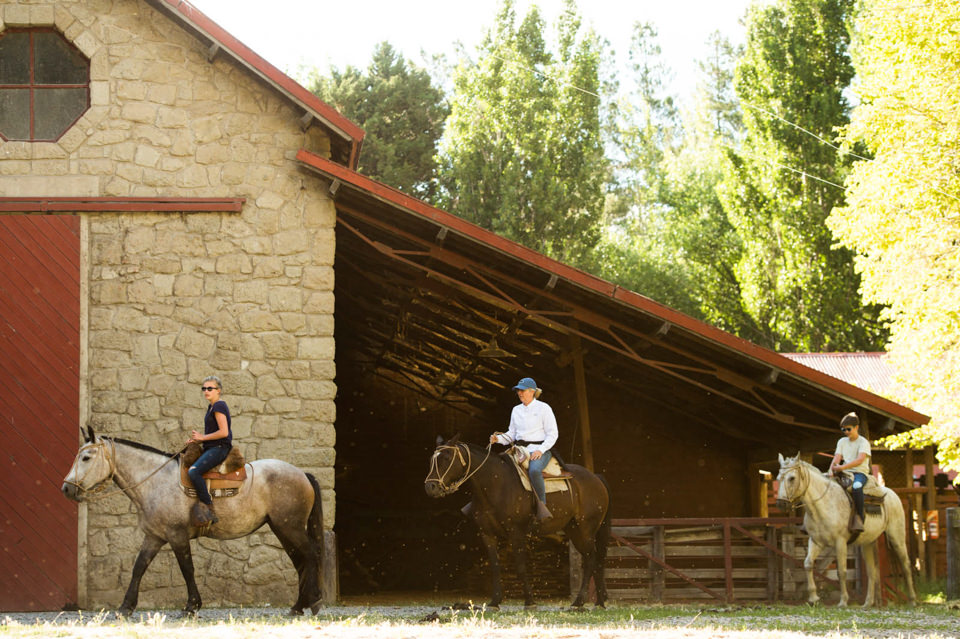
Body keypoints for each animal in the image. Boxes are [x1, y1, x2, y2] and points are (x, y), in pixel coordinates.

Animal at [64, 428, 326, 616]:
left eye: (86, 457)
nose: (66, 488)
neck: (156, 481)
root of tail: (303, 474)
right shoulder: (154, 537)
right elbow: (139, 567)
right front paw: (125, 607)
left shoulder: (177, 535)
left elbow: (186, 568)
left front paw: (192, 606)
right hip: (283, 528)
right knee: (300, 561)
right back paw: (299, 606)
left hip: (289, 527)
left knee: (310, 555)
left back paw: (312, 603)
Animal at [426, 436, 612, 608]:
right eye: (432, 459)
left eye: (447, 458)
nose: (430, 487)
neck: (496, 483)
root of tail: (596, 478)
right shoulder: (487, 534)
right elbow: (495, 567)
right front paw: (495, 602)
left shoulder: (516, 532)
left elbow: (521, 566)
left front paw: (529, 601)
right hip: (574, 530)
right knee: (594, 560)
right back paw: (599, 603)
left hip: (586, 529)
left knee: (591, 560)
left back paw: (579, 602)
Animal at [772, 452, 916, 608]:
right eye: (778, 478)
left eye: (792, 478)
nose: (781, 504)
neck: (823, 505)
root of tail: (892, 494)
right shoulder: (815, 541)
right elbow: (808, 564)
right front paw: (814, 598)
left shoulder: (840, 542)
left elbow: (841, 571)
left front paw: (843, 601)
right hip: (867, 543)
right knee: (872, 571)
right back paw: (867, 603)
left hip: (897, 537)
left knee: (906, 565)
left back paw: (912, 600)